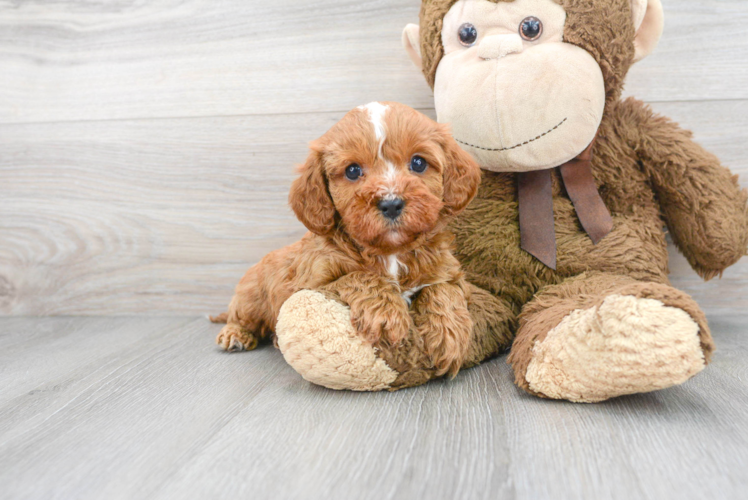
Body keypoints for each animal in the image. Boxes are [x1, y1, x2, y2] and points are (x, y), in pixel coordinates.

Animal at [212, 101, 480, 376]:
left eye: (418, 163)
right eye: (352, 170)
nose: (391, 203)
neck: (390, 252)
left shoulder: (449, 271)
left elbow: (443, 289)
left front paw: (449, 334)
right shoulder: (312, 284)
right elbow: (359, 276)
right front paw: (387, 314)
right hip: (251, 297)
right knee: (240, 316)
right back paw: (235, 334)